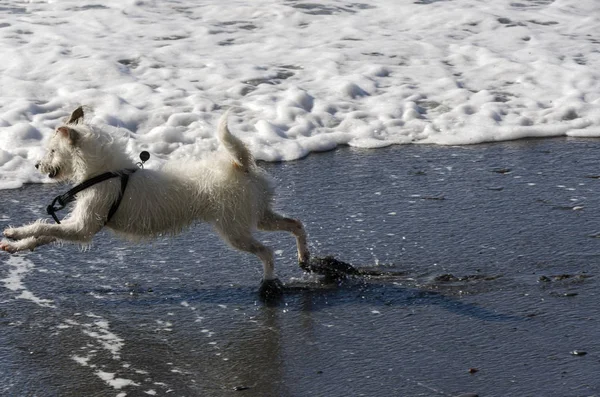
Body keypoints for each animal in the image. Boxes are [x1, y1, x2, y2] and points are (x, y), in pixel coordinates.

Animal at [0, 106, 310, 296]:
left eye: (52, 150)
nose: (37, 165)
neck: (103, 172)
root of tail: (240, 165)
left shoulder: (81, 229)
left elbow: (44, 227)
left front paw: (14, 233)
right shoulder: (76, 225)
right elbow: (44, 235)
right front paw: (15, 245)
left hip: (234, 230)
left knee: (267, 251)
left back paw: (269, 281)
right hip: (258, 214)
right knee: (295, 223)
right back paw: (304, 258)